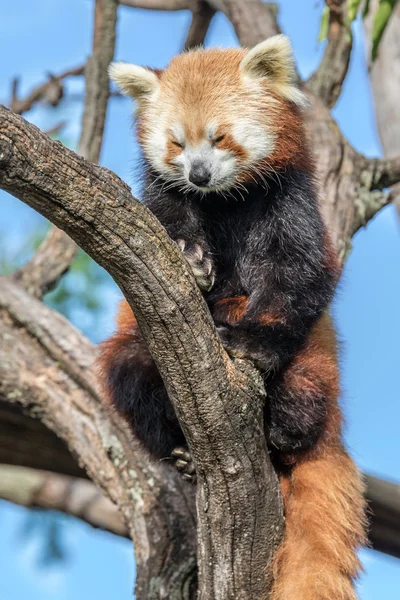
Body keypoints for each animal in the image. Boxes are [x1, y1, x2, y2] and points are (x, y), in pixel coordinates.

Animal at [97, 35, 366, 596]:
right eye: (177, 144)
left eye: (220, 137)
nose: (199, 174)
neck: (225, 201)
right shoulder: (164, 201)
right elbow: (168, 228)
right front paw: (193, 257)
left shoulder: (288, 204)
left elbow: (297, 277)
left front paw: (252, 344)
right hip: (136, 358)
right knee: (127, 370)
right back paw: (180, 452)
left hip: (317, 362)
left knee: (303, 388)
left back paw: (283, 428)